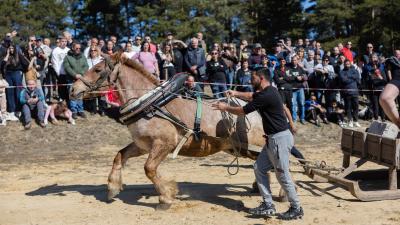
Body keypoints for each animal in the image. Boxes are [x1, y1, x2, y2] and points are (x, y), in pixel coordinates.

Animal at [70, 52, 268, 209]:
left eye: (97, 69)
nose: (73, 89)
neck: (150, 104)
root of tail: (254, 108)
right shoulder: (143, 145)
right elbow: (119, 155)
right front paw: (112, 187)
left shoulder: (164, 143)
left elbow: (149, 168)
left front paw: (166, 196)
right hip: (239, 148)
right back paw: (256, 187)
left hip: (251, 146)